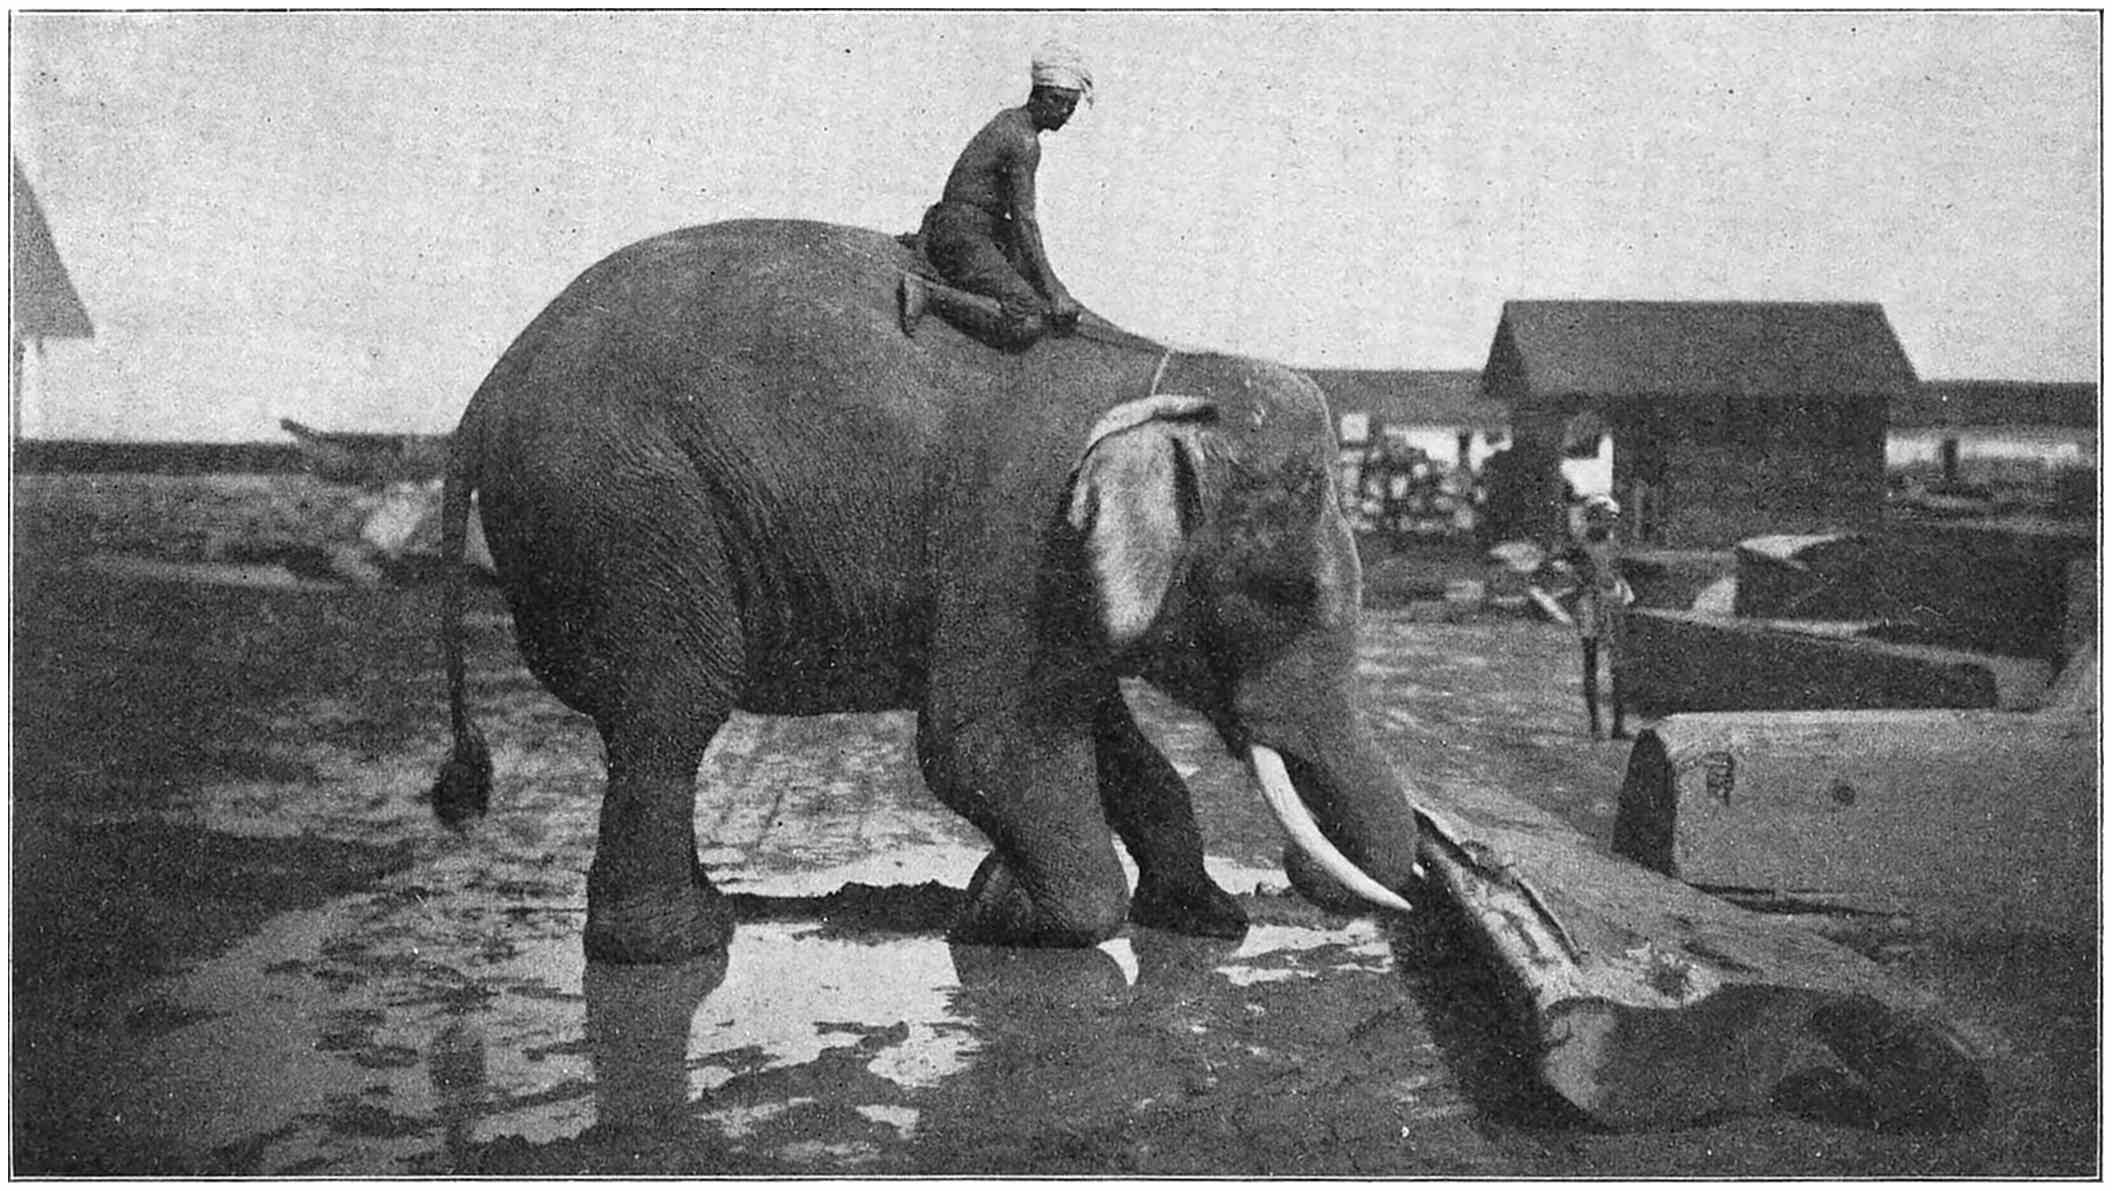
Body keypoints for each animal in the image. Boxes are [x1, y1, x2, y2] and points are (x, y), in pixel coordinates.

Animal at [429, 218, 1422, 964]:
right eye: (1287, 592)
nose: (1295, 877)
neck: (1158, 379)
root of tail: (482, 395)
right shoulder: (1015, 530)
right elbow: (977, 743)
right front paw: (1000, 914)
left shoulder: (1051, 574)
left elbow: (1099, 730)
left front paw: (1203, 918)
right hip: (628, 514)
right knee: (672, 708)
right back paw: (686, 941)